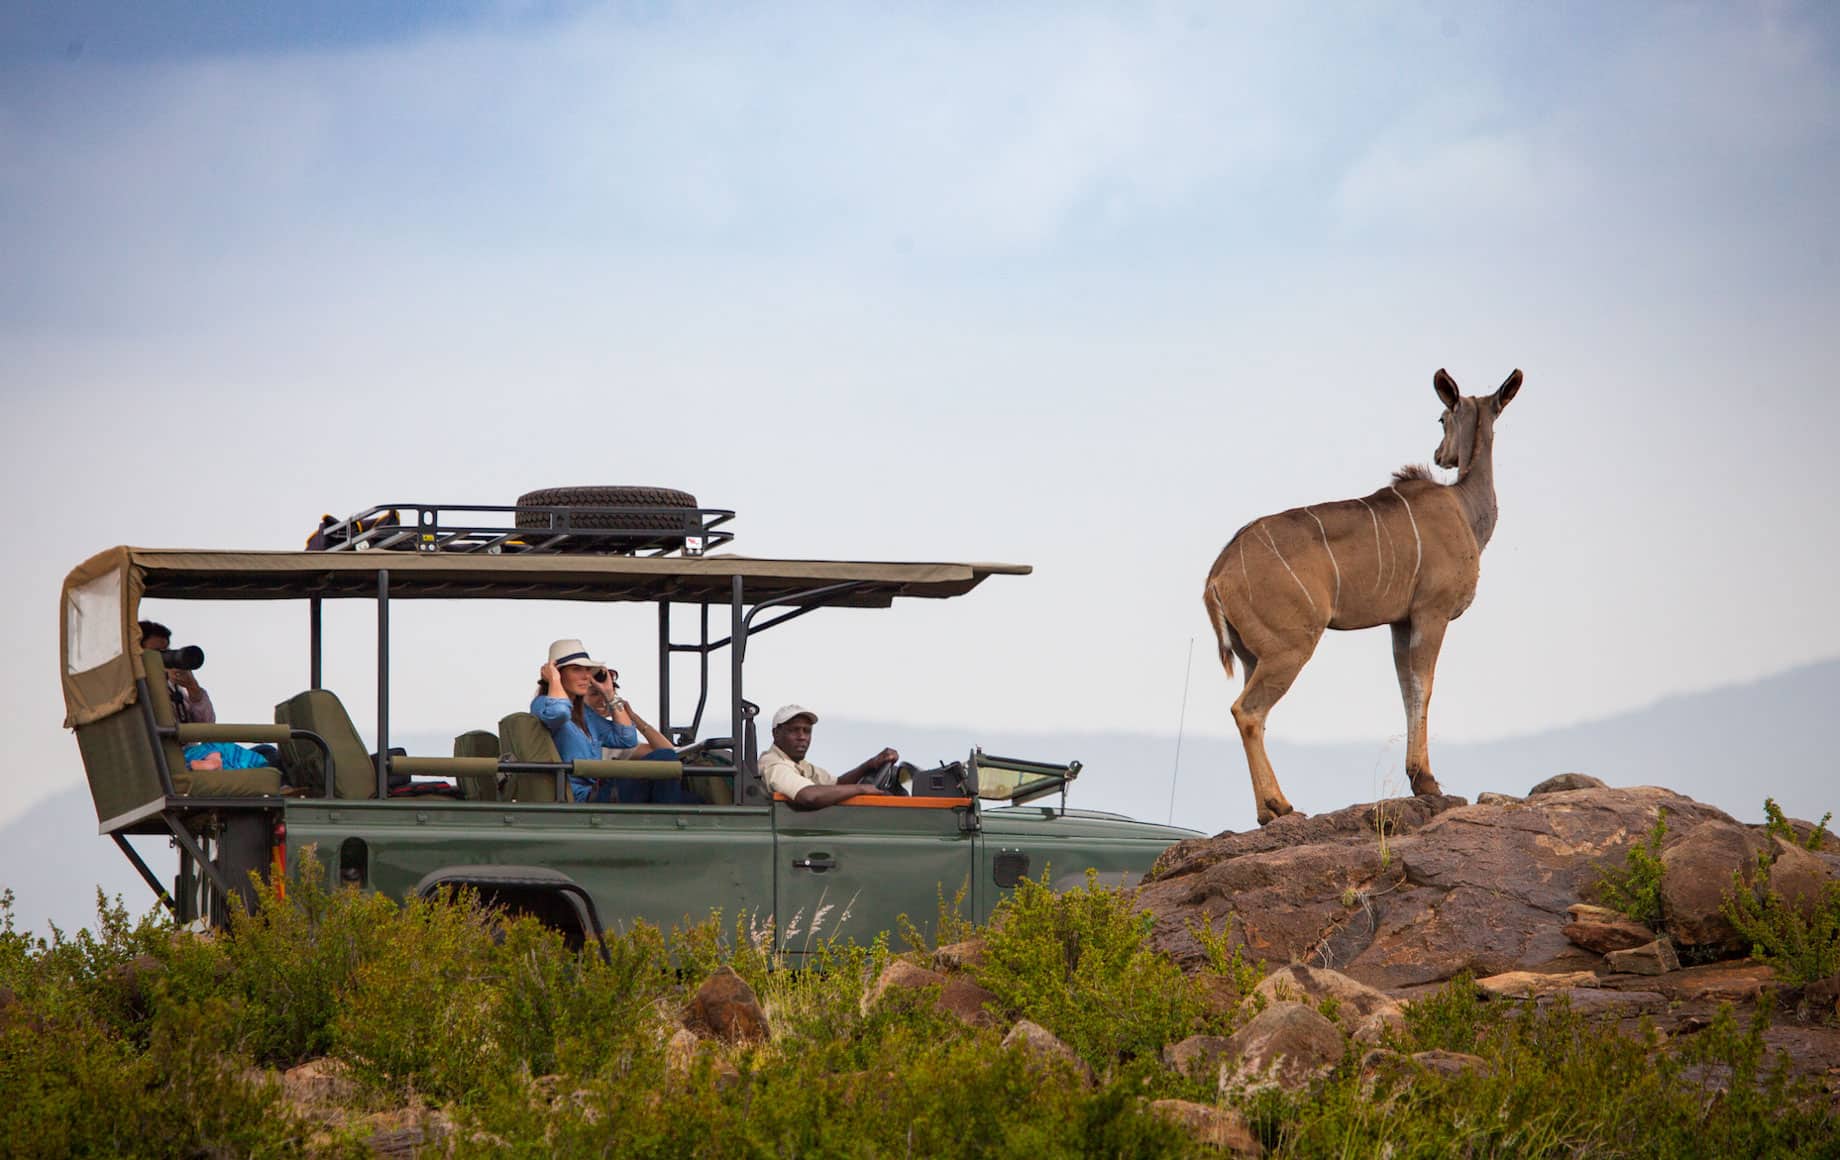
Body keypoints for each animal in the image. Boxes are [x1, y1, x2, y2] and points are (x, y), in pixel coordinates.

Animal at [1199, 371, 1516, 828]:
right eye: (1441, 418)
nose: (1441, 456)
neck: (1464, 508)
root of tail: (1217, 575)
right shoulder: (1431, 612)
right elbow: (1423, 686)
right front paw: (1426, 781)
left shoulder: (1400, 622)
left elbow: (1406, 688)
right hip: (1289, 648)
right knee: (1248, 711)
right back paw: (1281, 805)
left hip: (1250, 656)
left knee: (1251, 712)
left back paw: (1267, 810)